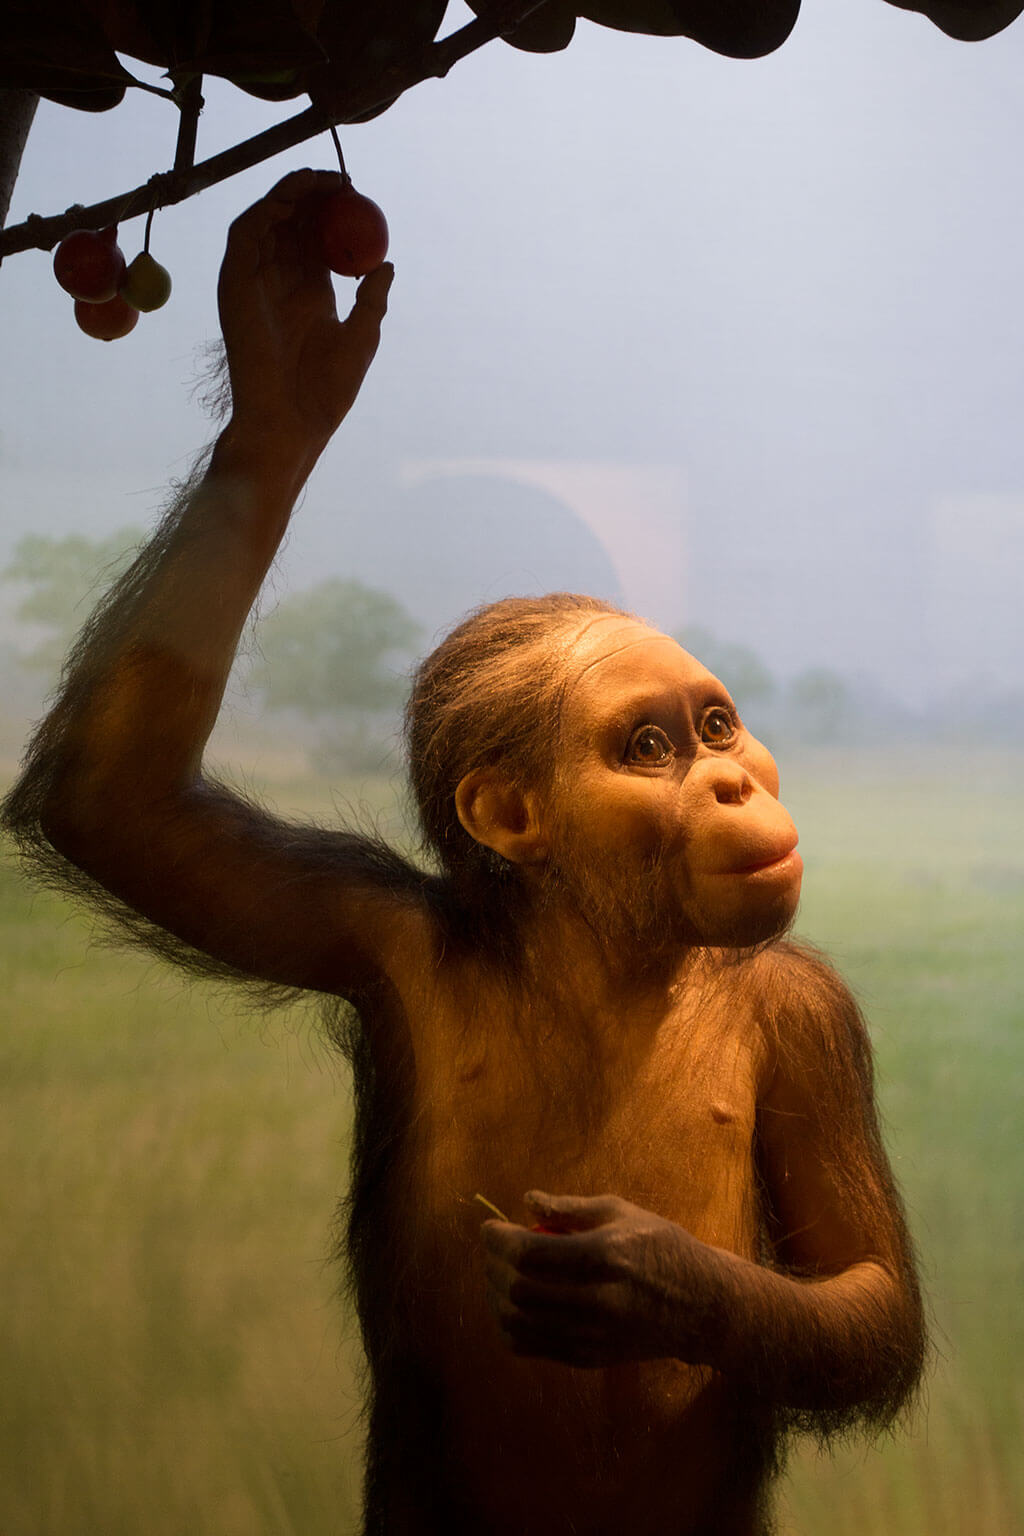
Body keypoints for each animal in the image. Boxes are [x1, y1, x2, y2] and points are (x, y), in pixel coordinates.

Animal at [1, 170, 925, 1536]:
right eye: (648, 746)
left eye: (715, 727)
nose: (731, 779)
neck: (607, 943)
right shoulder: (361, 922)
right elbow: (120, 801)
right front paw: (284, 385)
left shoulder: (814, 1022)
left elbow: (868, 1291)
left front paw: (645, 1280)